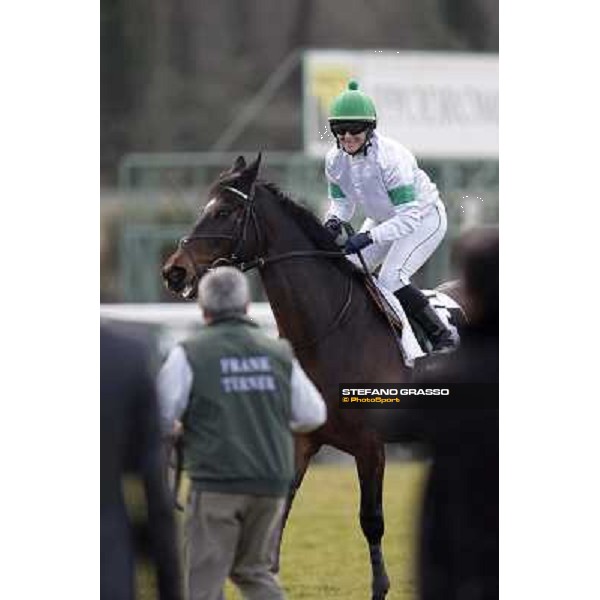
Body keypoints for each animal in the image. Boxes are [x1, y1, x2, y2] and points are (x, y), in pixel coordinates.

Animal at [159, 154, 460, 596]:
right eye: (204, 207)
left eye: (225, 212)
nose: (174, 272)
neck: (330, 332)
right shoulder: (299, 439)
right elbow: (278, 514)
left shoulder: (371, 445)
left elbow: (371, 520)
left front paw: (380, 587)